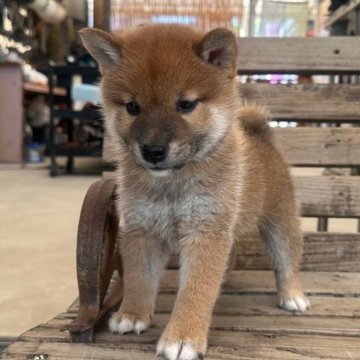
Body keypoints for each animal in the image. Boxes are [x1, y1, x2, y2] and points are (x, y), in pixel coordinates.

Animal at [80, 25, 308, 360]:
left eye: (185, 105)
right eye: (132, 107)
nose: (153, 151)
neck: (172, 184)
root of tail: (263, 138)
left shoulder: (205, 231)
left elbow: (196, 290)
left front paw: (184, 336)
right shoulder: (141, 230)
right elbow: (138, 278)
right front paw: (133, 314)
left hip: (280, 222)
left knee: (287, 261)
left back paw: (292, 295)